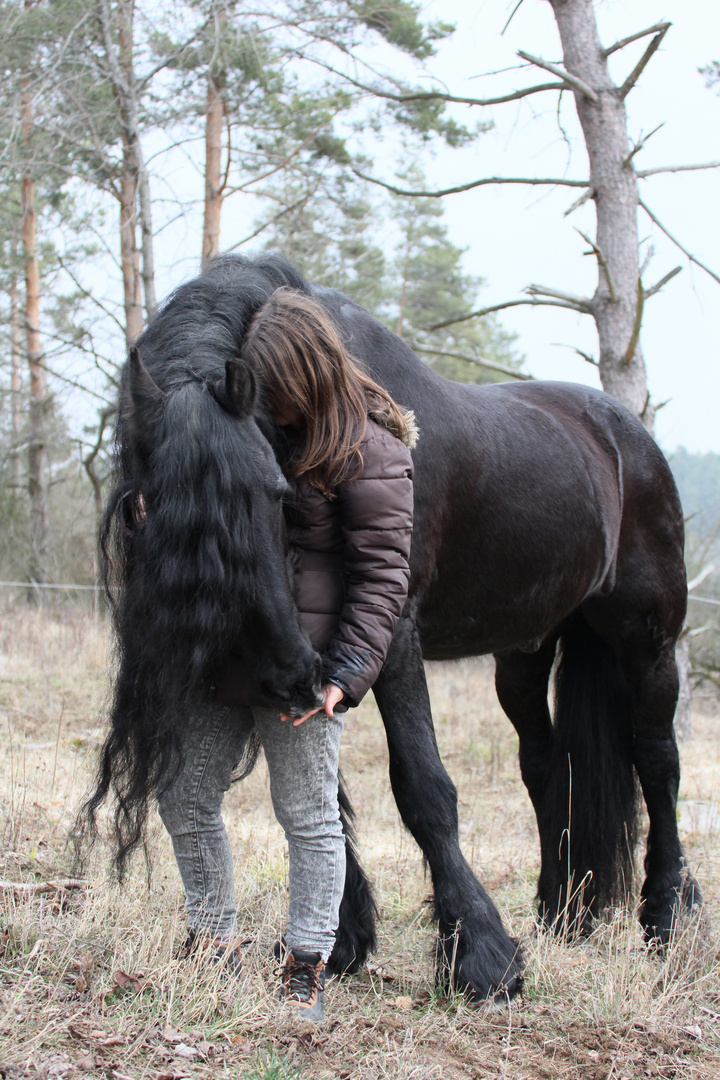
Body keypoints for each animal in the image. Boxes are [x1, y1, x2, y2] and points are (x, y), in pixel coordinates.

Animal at [88, 252, 699, 1002]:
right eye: (145, 508)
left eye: (276, 494)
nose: (287, 671)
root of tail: (629, 434)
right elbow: (326, 798)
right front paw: (344, 942)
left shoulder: (393, 635)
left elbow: (423, 788)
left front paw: (481, 956)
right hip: (525, 655)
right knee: (546, 763)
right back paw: (562, 912)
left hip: (649, 643)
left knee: (658, 763)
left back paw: (665, 916)